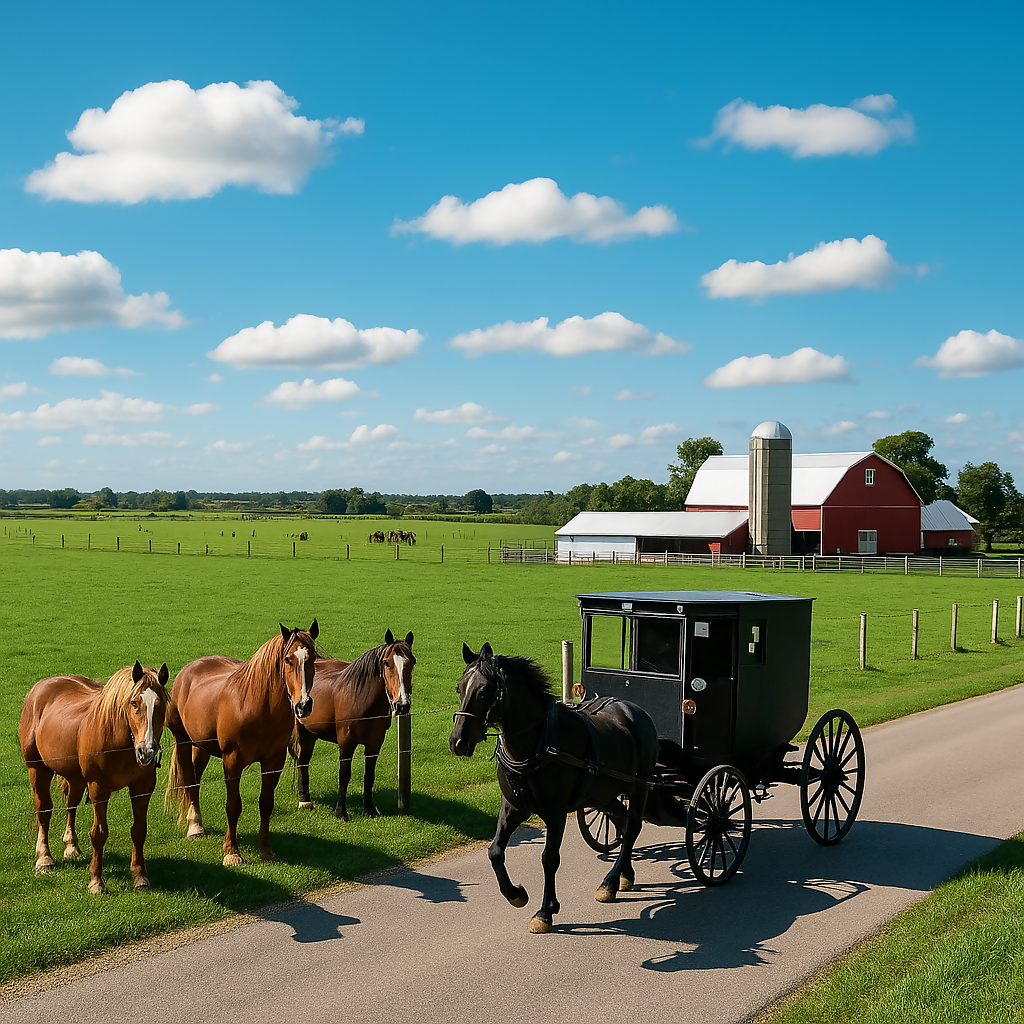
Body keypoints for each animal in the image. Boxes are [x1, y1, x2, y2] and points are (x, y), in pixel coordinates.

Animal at [19, 661, 170, 894]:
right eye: (134, 703)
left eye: (161, 705)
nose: (146, 751)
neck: (119, 740)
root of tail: (38, 689)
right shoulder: (99, 788)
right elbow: (99, 833)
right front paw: (97, 881)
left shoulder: (142, 787)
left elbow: (139, 831)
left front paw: (140, 876)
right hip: (37, 769)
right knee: (44, 810)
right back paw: (44, 858)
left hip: (75, 778)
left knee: (70, 805)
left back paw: (71, 846)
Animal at [165, 620, 318, 866]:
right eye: (288, 660)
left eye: (312, 658)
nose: (303, 705)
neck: (258, 708)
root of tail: (190, 669)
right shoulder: (232, 762)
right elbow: (233, 806)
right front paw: (232, 852)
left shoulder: (273, 762)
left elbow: (266, 803)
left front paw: (266, 850)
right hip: (183, 741)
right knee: (189, 780)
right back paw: (195, 827)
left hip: (201, 746)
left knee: (196, 778)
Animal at [293, 629, 415, 819]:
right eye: (387, 663)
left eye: (412, 663)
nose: (402, 705)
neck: (361, 698)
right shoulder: (346, 742)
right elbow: (344, 775)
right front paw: (340, 812)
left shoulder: (374, 743)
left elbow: (369, 775)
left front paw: (370, 808)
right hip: (302, 729)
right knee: (302, 759)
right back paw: (304, 800)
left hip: (311, 732)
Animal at [449, 642, 658, 933]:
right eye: (460, 687)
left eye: (483, 690)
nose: (458, 741)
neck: (537, 743)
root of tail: (635, 710)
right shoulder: (513, 806)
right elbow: (495, 852)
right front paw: (515, 894)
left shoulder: (556, 813)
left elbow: (549, 858)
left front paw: (545, 911)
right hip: (605, 791)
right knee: (623, 821)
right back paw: (625, 875)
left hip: (640, 786)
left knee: (633, 828)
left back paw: (611, 881)